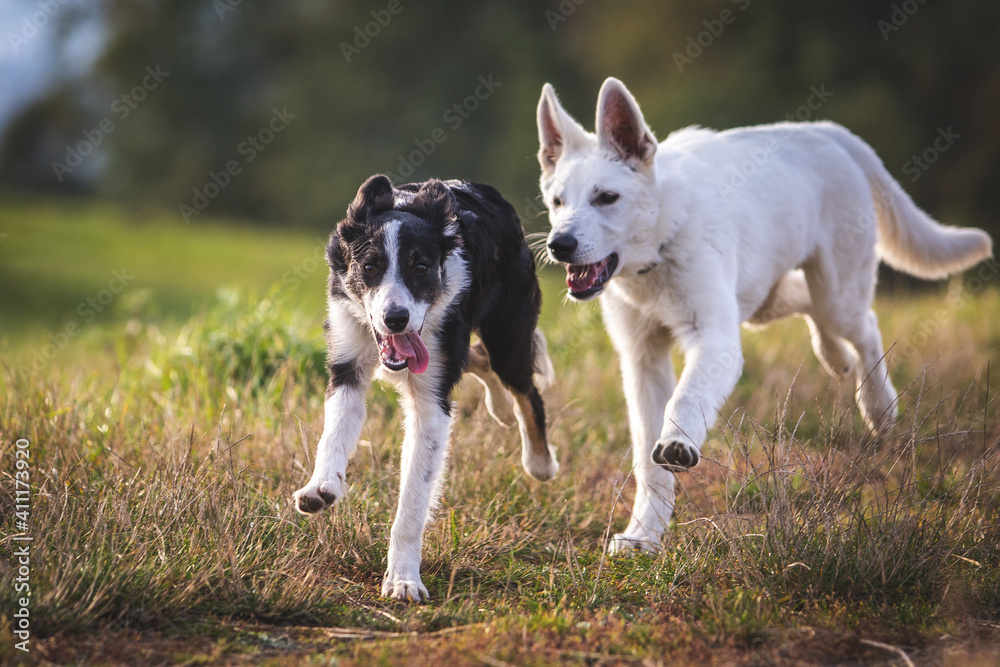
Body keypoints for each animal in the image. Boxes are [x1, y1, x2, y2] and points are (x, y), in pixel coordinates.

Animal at [292, 175, 560, 604]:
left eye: (420, 267)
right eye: (370, 267)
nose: (396, 319)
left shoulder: (432, 403)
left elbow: (413, 502)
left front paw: (403, 580)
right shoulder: (347, 366)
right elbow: (332, 436)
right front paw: (321, 487)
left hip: (508, 338)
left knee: (525, 389)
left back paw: (540, 462)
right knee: (479, 359)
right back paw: (500, 408)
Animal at [536, 77, 988, 552]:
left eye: (607, 198)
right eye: (557, 201)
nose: (558, 245)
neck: (661, 243)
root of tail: (823, 130)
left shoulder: (715, 340)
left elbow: (686, 398)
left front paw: (678, 443)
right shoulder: (642, 359)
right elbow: (647, 458)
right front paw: (644, 535)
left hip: (836, 294)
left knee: (864, 325)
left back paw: (879, 406)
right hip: (767, 300)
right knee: (814, 310)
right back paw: (836, 360)